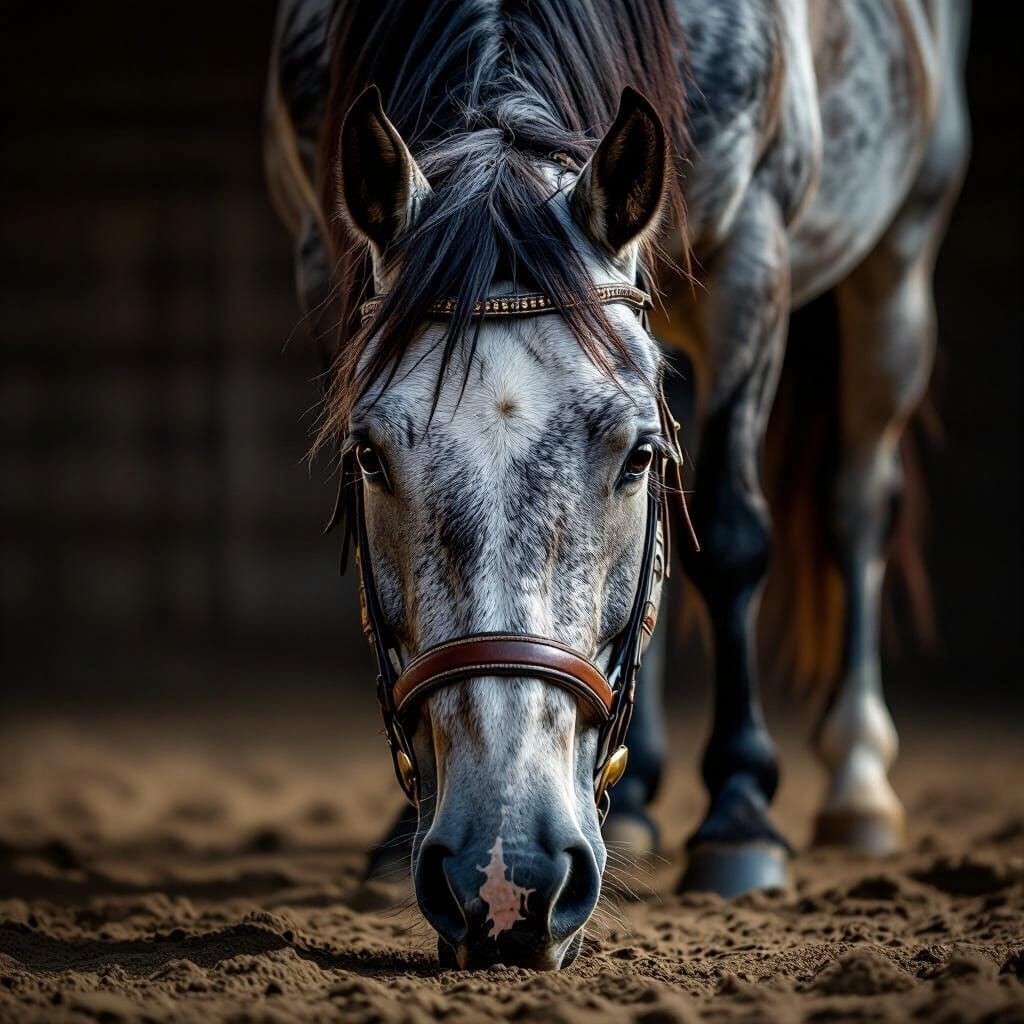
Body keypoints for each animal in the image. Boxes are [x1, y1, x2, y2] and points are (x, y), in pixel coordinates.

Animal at [264, 0, 970, 970]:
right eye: (368, 454)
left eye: (638, 456)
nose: (504, 881)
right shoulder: (321, 251)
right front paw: (397, 835)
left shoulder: (752, 250)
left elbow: (731, 539)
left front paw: (740, 821)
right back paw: (630, 809)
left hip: (898, 255)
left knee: (857, 500)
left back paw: (857, 786)